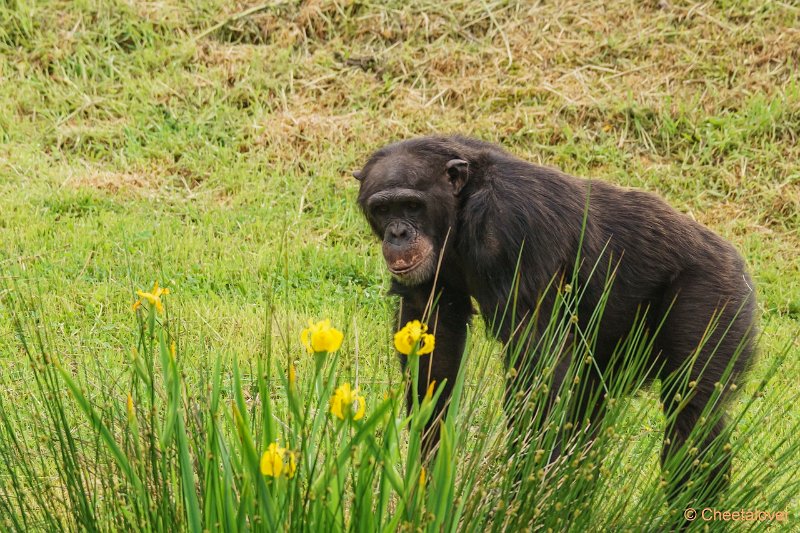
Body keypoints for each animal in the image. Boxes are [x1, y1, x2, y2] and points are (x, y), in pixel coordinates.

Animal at [352, 135, 756, 504]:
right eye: (383, 209)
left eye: (412, 205)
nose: (398, 233)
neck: (462, 209)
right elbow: (433, 339)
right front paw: (429, 471)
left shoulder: (513, 226)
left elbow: (538, 363)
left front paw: (522, 490)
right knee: (589, 408)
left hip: (714, 299)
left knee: (692, 412)